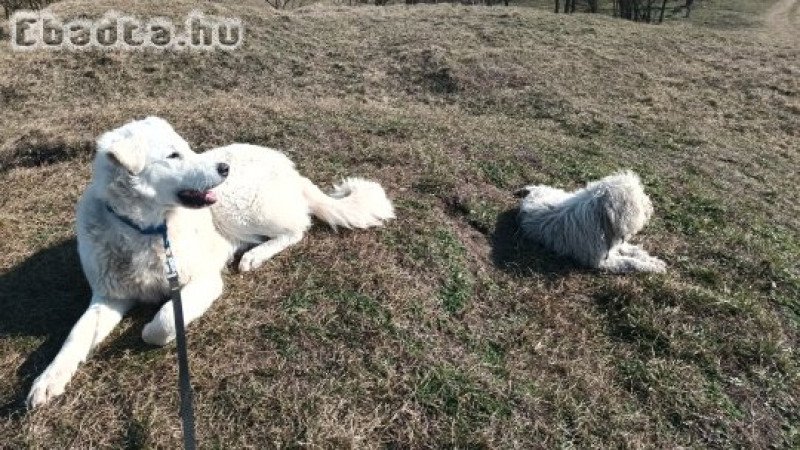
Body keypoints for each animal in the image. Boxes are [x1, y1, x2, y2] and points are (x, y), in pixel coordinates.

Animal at [26, 117, 396, 408]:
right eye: (173, 156)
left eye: (188, 149)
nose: (223, 169)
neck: (147, 229)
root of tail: (289, 168)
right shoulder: (108, 298)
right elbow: (75, 336)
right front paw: (48, 379)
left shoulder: (203, 281)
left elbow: (163, 323)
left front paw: (146, 329)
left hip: (242, 211)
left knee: (297, 227)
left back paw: (255, 255)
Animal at [516, 171, 664, 272]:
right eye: (638, 198)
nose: (650, 207)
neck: (600, 219)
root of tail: (530, 196)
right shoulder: (600, 261)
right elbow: (629, 262)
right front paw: (652, 266)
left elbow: (634, 251)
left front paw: (653, 261)